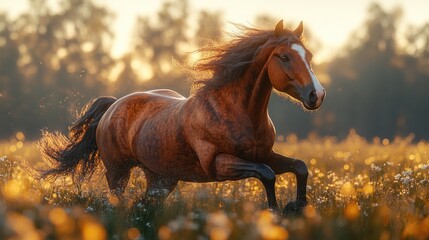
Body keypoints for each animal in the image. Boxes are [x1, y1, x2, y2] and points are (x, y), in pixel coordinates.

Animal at [39, 19, 324, 214]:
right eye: (284, 57)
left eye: (309, 55)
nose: (316, 95)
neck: (238, 113)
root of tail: (112, 106)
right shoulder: (219, 164)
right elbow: (267, 174)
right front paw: (276, 211)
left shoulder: (263, 154)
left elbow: (299, 166)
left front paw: (298, 206)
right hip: (117, 171)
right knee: (118, 202)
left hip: (162, 178)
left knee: (144, 203)